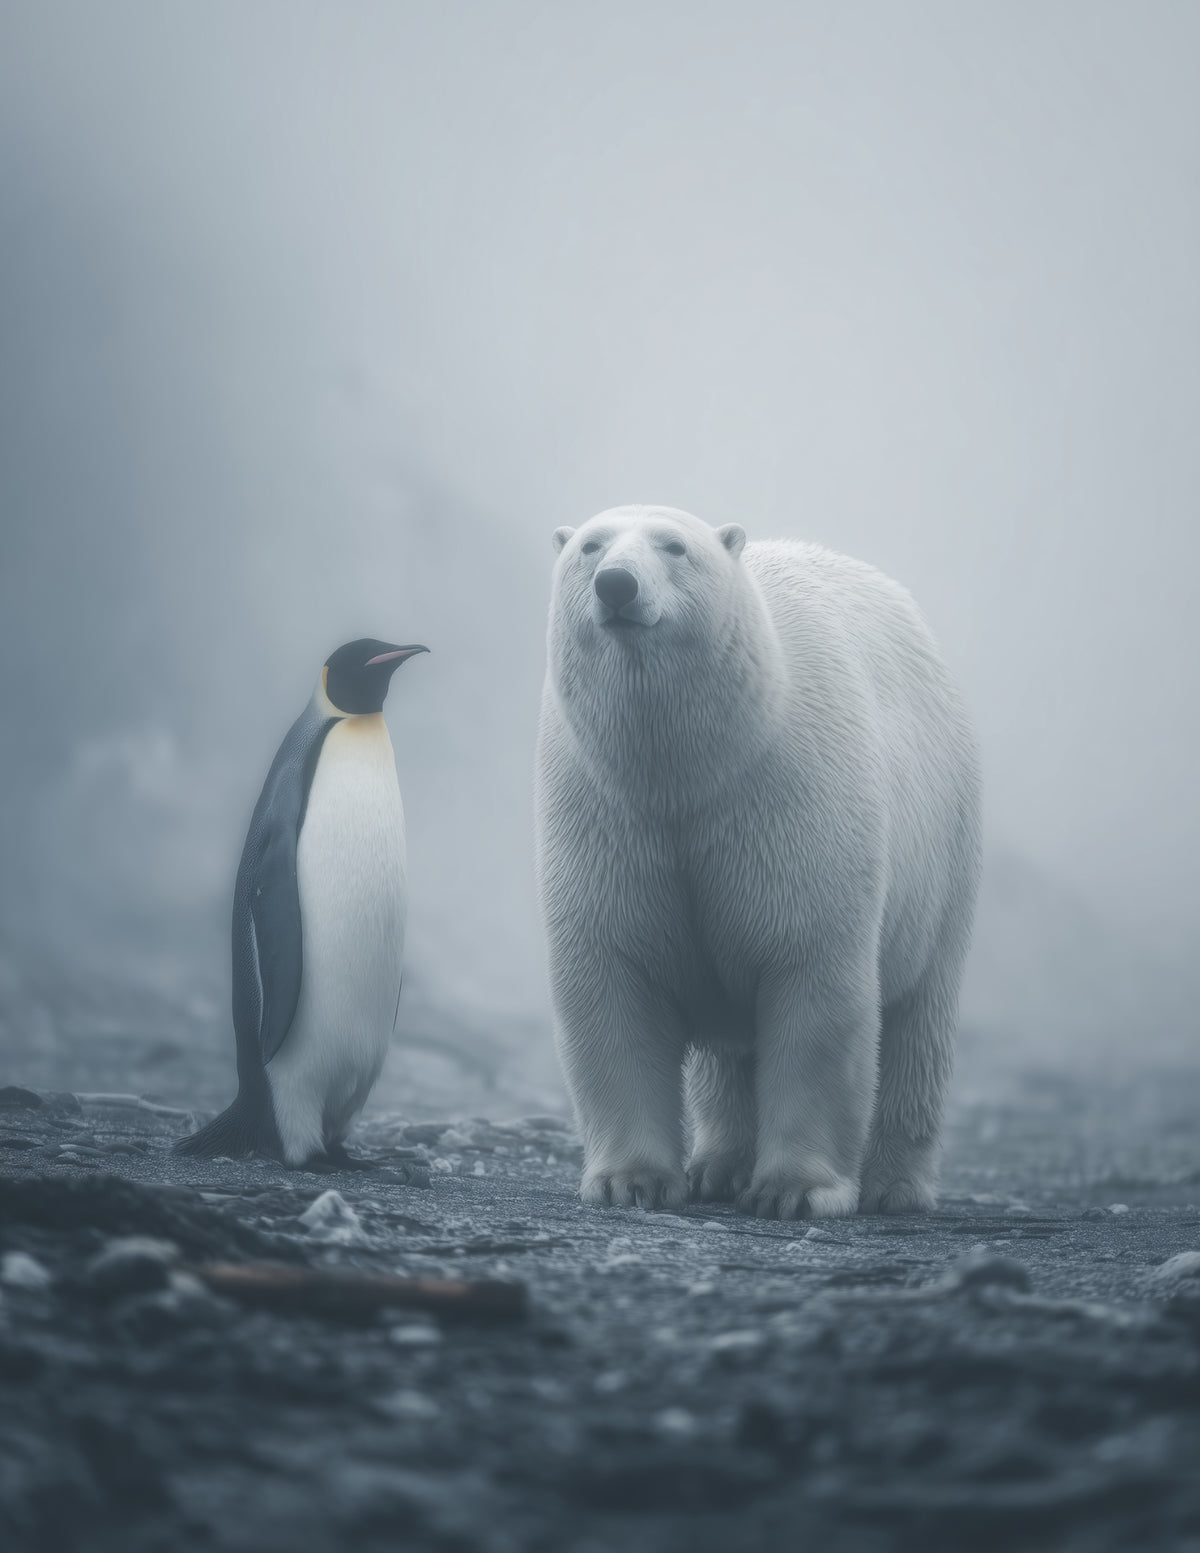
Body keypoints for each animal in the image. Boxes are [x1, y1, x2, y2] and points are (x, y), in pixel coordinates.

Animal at [534, 505, 981, 1219]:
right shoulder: (608, 817)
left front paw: (794, 1190)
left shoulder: (792, 802)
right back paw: (715, 1167)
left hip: (948, 854)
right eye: (590, 546)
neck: (693, 767)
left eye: (674, 546)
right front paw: (629, 1181)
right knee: (725, 1057)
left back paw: (896, 1188)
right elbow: (614, 982)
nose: (616, 585)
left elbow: (814, 981)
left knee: (919, 1020)